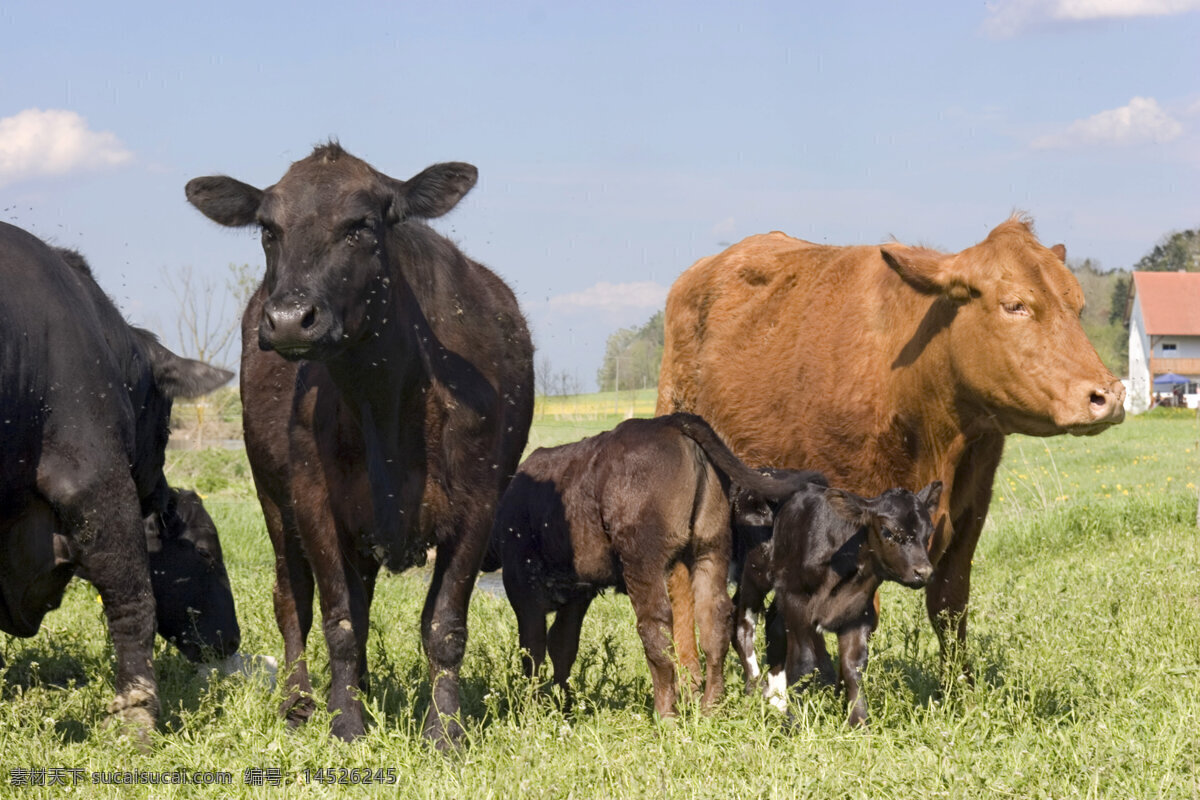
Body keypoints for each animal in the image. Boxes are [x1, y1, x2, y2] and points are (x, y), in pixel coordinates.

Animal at [187, 142, 535, 743]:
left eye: (361, 226)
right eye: (267, 229)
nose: (288, 319)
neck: (388, 400)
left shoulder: (478, 504)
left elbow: (444, 625)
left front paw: (444, 730)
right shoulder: (315, 501)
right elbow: (339, 619)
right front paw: (345, 722)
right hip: (273, 497)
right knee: (293, 600)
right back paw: (302, 701)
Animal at [657, 215, 1123, 681]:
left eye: (1079, 306)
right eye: (1015, 305)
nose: (1109, 395)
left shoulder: (971, 508)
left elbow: (950, 604)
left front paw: (960, 689)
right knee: (681, 583)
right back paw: (691, 675)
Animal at [729, 479, 936, 729]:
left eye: (928, 533)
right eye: (888, 530)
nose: (923, 572)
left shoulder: (858, 612)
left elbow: (853, 665)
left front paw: (859, 722)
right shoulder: (796, 600)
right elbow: (805, 661)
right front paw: (794, 722)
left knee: (773, 625)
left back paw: (777, 700)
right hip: (755, 571)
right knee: (743, 624)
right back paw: (755, 691)